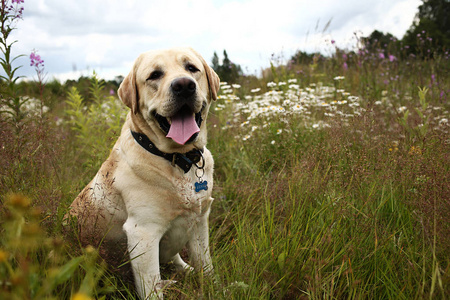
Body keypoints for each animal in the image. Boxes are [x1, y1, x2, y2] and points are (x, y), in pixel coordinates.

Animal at [68, 48, 220, 298]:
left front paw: (216, 288)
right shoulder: (143, 233)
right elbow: (151, 288)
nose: (184, 85)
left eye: (191, 68)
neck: (180, 160)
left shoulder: (199, 220)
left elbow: (205, 266)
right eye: (154, 75)